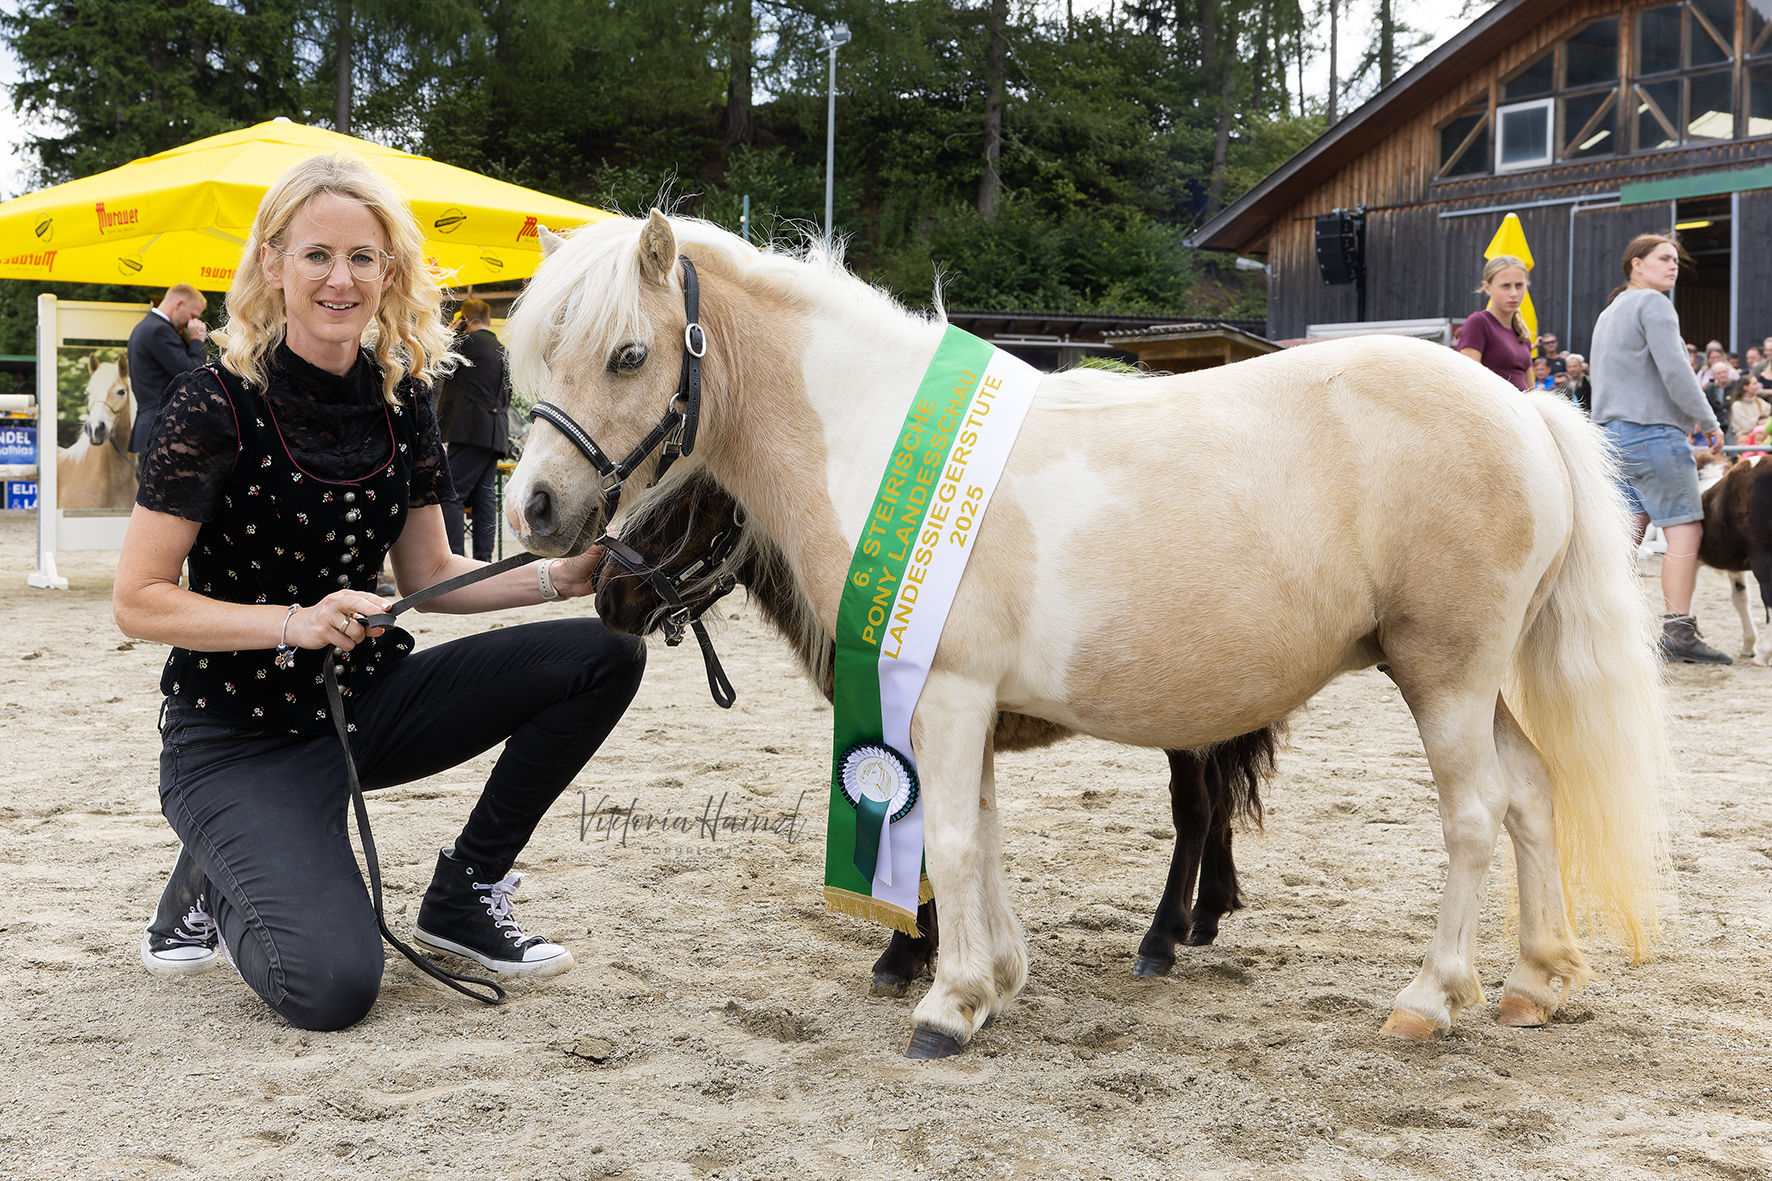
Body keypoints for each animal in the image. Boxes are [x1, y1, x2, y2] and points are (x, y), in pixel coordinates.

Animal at [591, 470, 1279, 989]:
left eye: (683, 509)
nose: (606, 598)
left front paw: (907, 954)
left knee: (1195, 810)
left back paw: (1163, 938)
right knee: (1221, 802)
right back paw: (1209, 912)